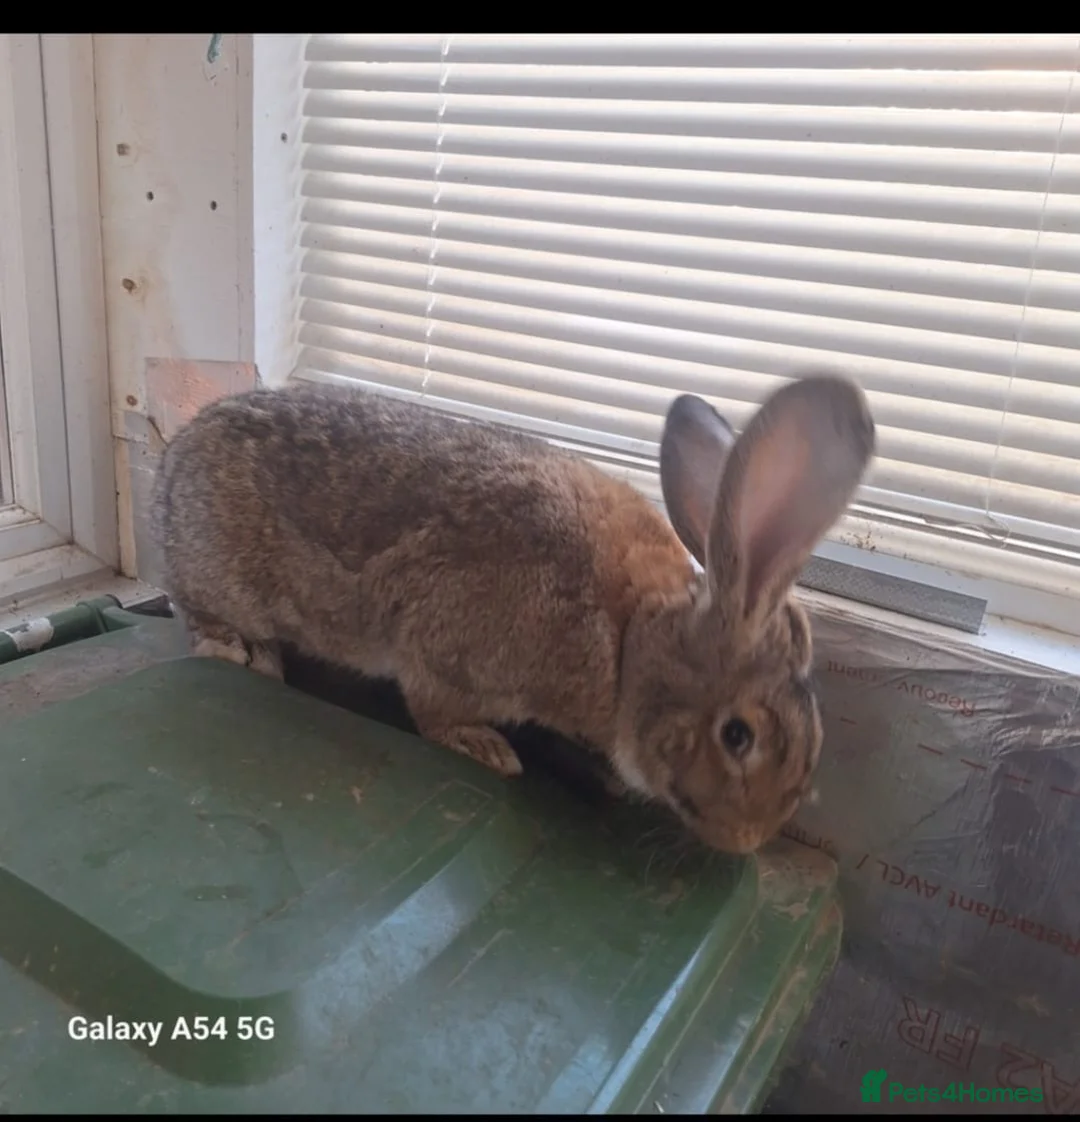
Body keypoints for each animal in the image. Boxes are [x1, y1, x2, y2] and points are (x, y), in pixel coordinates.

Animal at [151, 370, 874, 855]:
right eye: (737, 736)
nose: (750, 839)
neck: (629, 641)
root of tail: (173, 463)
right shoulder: (447, 655)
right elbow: (433, 711)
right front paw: (487, 750)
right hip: (221, 580)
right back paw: (241, 655)